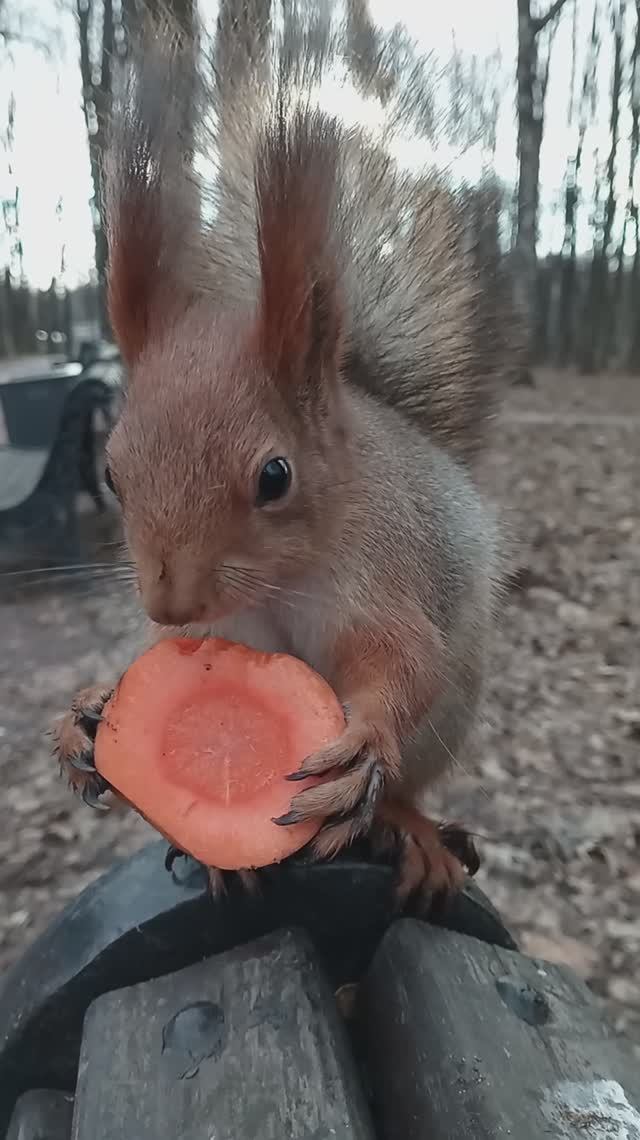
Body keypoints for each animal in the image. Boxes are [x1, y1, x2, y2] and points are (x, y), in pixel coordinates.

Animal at [53, 4, 513, 902]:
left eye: (275, 476)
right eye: (111, 473)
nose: (169, 603)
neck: (286, 578)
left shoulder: (388, 573)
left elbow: (403, 660)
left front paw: (363, 744)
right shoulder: (224, 632)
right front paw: (88, 713)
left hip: (450, 718)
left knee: (407, 785)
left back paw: (409, 826)